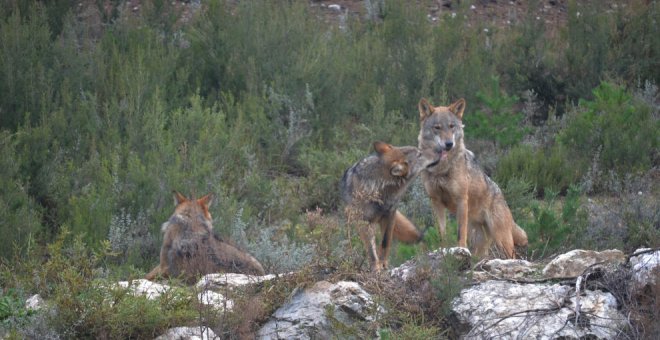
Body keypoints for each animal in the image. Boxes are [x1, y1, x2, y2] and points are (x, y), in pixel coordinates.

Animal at [340, 141, 438, 270]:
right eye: (419, 154)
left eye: (419, 151)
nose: (440, 150)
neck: (379, 188)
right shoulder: (363, 221)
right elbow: (371, 250)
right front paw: (376, 268)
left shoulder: (390, 215)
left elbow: (385, 242)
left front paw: (383, 263)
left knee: (420, 239)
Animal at [418, 97, 532, 258]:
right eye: (437, 128)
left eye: (452, 126)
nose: (449, 144)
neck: (441, 169)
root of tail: (501, 195)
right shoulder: (435, 202)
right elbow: (442, 233)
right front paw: (443, 251)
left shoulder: (461, 200)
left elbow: (460, 233)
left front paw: (460, 250)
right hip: (481, 246)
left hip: (502, 240)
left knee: (513, 256)